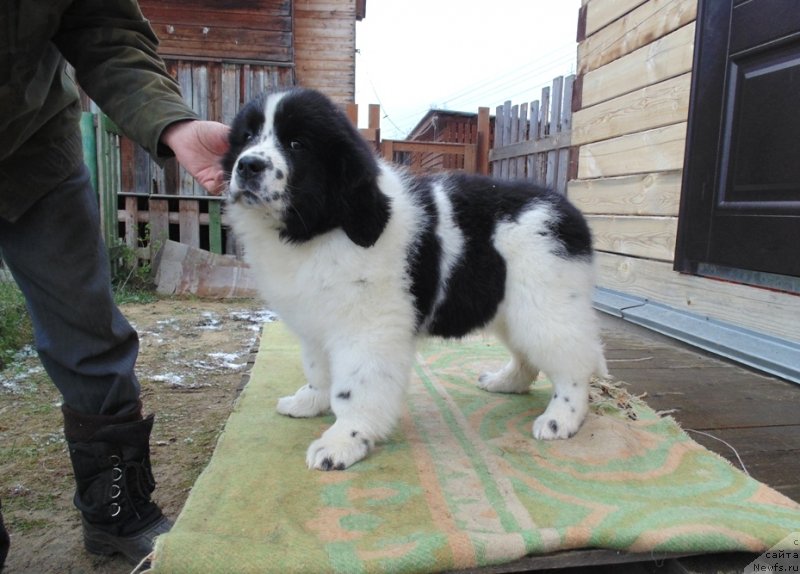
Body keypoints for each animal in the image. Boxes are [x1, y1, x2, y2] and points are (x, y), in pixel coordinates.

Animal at [222, 86, 608, 472]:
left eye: (297, 144)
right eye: (247, 137)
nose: (248, 165)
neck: (324, 227)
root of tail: (570, 212)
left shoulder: (367, 328)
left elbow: (354, 388)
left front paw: (343, 441)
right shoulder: (315, 319)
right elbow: (318, 370)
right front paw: (309, 402)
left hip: (545, 306)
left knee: (573, 364)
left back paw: (561, 419)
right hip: (513, 309)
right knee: (528, 356)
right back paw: (506, 382)